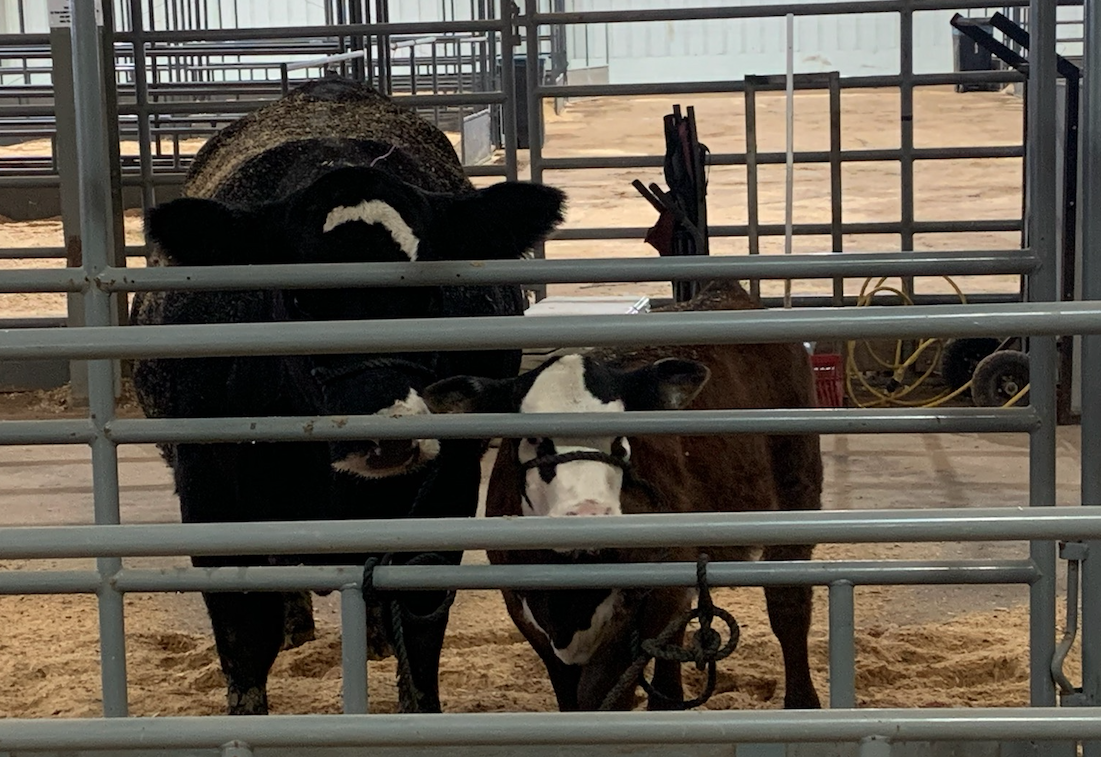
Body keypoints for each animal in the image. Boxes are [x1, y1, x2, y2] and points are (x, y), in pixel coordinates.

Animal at [129, 76, 565, 715]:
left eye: (430, 296)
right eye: (299, 299)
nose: (386, 435)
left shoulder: (447, 484)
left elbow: (420, 621)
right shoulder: (209, 488)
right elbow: (243, 632)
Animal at [421, 279, 823, 711]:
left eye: (620, 440)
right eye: (531, 438)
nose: (589, 514)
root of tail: (725, 292)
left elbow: (602, 698)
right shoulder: (527, 612)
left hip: (797, 488)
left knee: (788, 603)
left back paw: (802, 701)